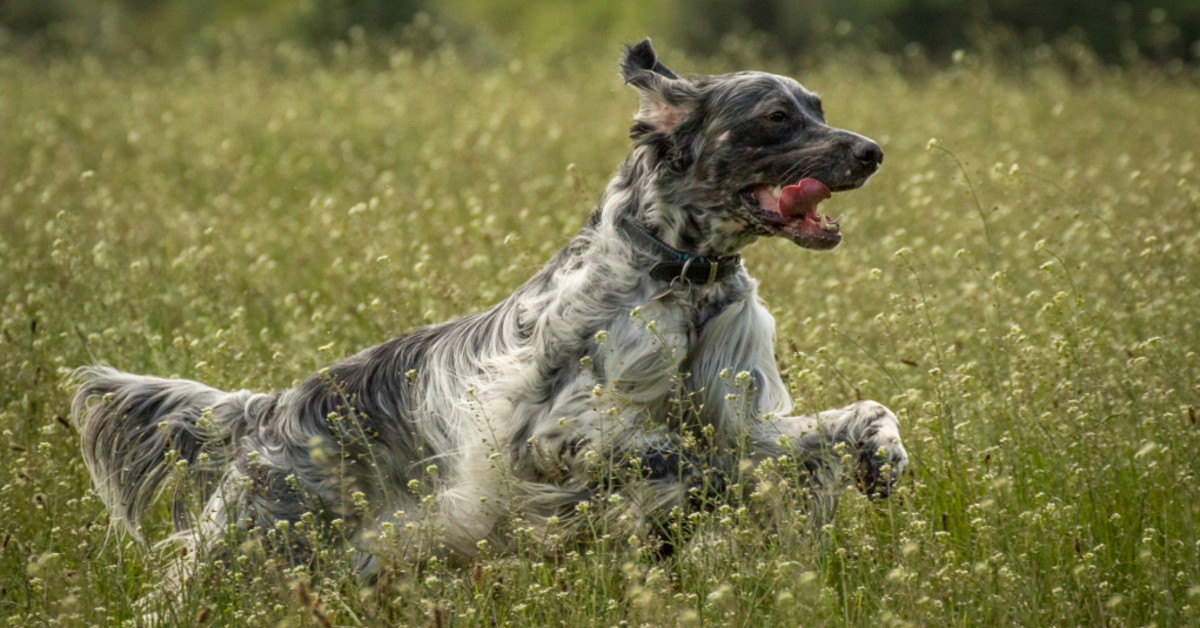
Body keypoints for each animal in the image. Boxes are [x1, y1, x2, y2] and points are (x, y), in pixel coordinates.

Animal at [70, 40, 902, 581]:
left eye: (818, 107)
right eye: (775, 117)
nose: (871, 151)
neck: (684, 280)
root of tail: (272, 407)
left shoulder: (748, 416)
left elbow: (849, 418)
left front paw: (884, 458)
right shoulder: (551, 438)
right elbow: (689, 457)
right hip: (255, 538)